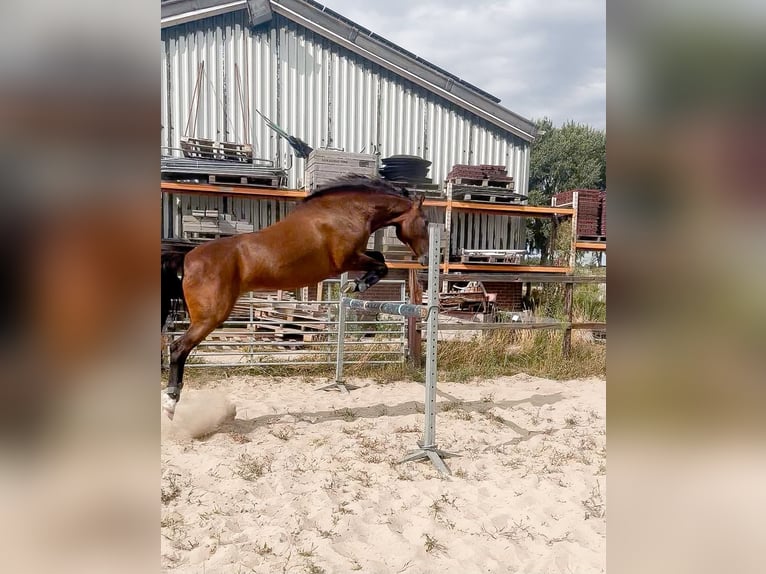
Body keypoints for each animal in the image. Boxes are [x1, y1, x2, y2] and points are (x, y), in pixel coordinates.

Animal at [161, 176, 430, 419]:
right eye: (426, 222)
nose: (426, 259)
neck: (345, 213)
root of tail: (187, 257)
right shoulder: (346, 260)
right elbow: (381, 264)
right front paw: (358, 285)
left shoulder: (355, 257)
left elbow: (379, 258)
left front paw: (356, 284)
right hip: (211, 317)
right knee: (178, 348)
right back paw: (171, 400)